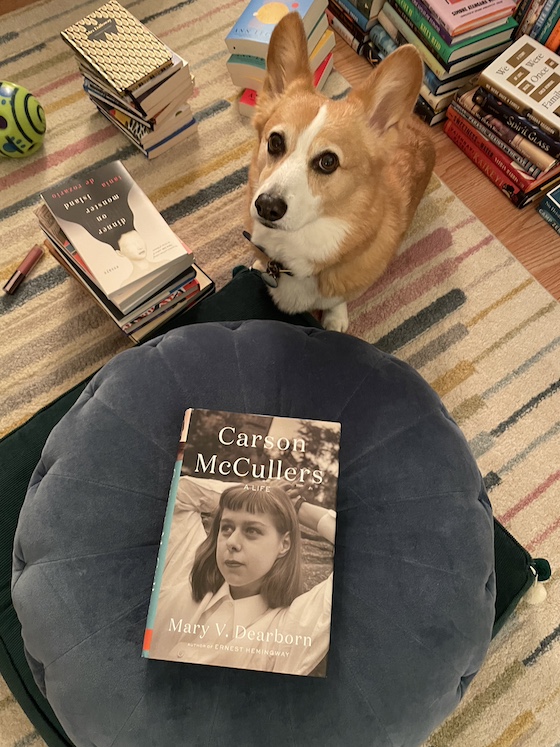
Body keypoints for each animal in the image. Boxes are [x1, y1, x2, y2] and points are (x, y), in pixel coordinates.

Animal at [247, 10, 436, 334]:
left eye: (328, 162)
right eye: (274, 142)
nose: (267, 206)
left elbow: (336, 300)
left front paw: (334, 320)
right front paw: (258, 263)